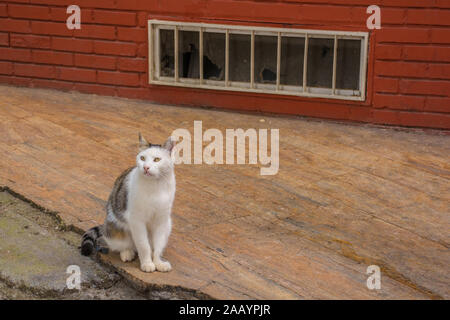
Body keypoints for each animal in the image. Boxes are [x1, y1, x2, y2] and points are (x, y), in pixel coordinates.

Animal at [81, 132, 177, 272]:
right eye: (142, 158)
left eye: (157, 159)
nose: (146, 167)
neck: (155, 186)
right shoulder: (136, 220)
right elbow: (143, 245)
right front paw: (147, 263)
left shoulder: (161, 220)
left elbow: (158, 245)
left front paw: (158, 262)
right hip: (116, 228)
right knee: (126, 244)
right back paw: (127, 252)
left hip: (168, 225)